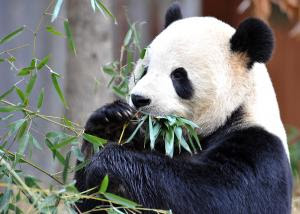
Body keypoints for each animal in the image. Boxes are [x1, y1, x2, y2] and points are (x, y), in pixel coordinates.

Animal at [74, 3, 292, 214]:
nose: (139, 99)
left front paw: (108, 162)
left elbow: (212, 195)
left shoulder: (258, 148)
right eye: (145, 70)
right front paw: (111, 122)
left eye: (178, 75)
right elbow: (87, 200)